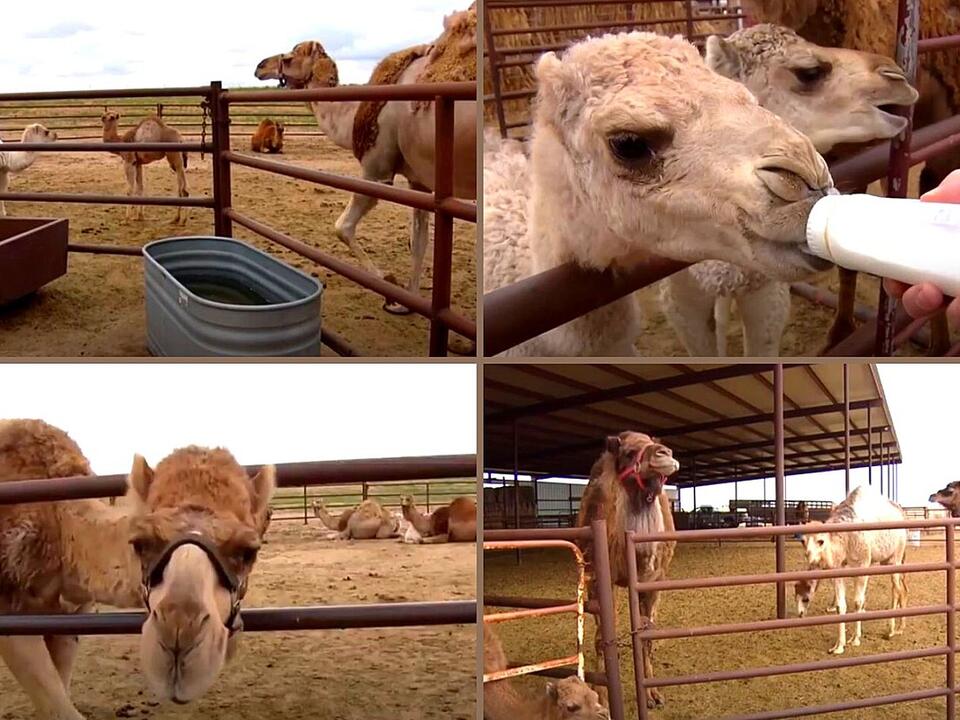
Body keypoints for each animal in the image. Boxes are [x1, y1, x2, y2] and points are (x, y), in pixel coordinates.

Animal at [0, 419, 275, 718]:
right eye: (141, 543)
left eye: (249, 552)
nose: (178, 636)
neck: (60, 528)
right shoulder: (10, 612)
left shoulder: (68, 612)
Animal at [253, 5, 476, 314]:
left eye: (290, 55)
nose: (260, 66)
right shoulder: (419, 180)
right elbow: (419, 238)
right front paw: (409, 302)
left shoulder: (377, 168)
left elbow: (342, 228)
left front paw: (391, 286)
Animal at [576, 432, 680, 709]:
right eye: (629, 453)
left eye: (654, 444)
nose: (665, 454)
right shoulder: (600, 578)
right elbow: (602, 638)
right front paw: (601, 697)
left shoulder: (654, 580)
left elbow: (647, 635)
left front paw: (652, 694)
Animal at [797, 485, 907, 655]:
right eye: (803, 541)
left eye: (820, 541)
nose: (810, 556)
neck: (845, 537)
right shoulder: (838, 567)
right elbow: (840, 606)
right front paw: (838, 646)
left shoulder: (862, 564)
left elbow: (858, 602)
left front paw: (855, 639)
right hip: (886, 561)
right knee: (899, 587)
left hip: (897, 555)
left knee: (897, 589)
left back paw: (893, 630)